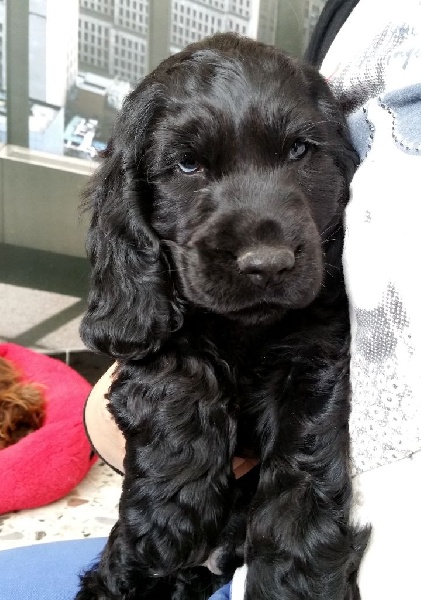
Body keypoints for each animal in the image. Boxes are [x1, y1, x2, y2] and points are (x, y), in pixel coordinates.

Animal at [77, 33, 369, 600]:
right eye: (188, 165)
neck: (245, 330)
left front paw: (296, 578)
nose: (267, 262)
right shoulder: (145, 322)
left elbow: (304, 458)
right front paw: (167, 520)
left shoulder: (314, 354)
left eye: (299, 151)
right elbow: (178, 377)